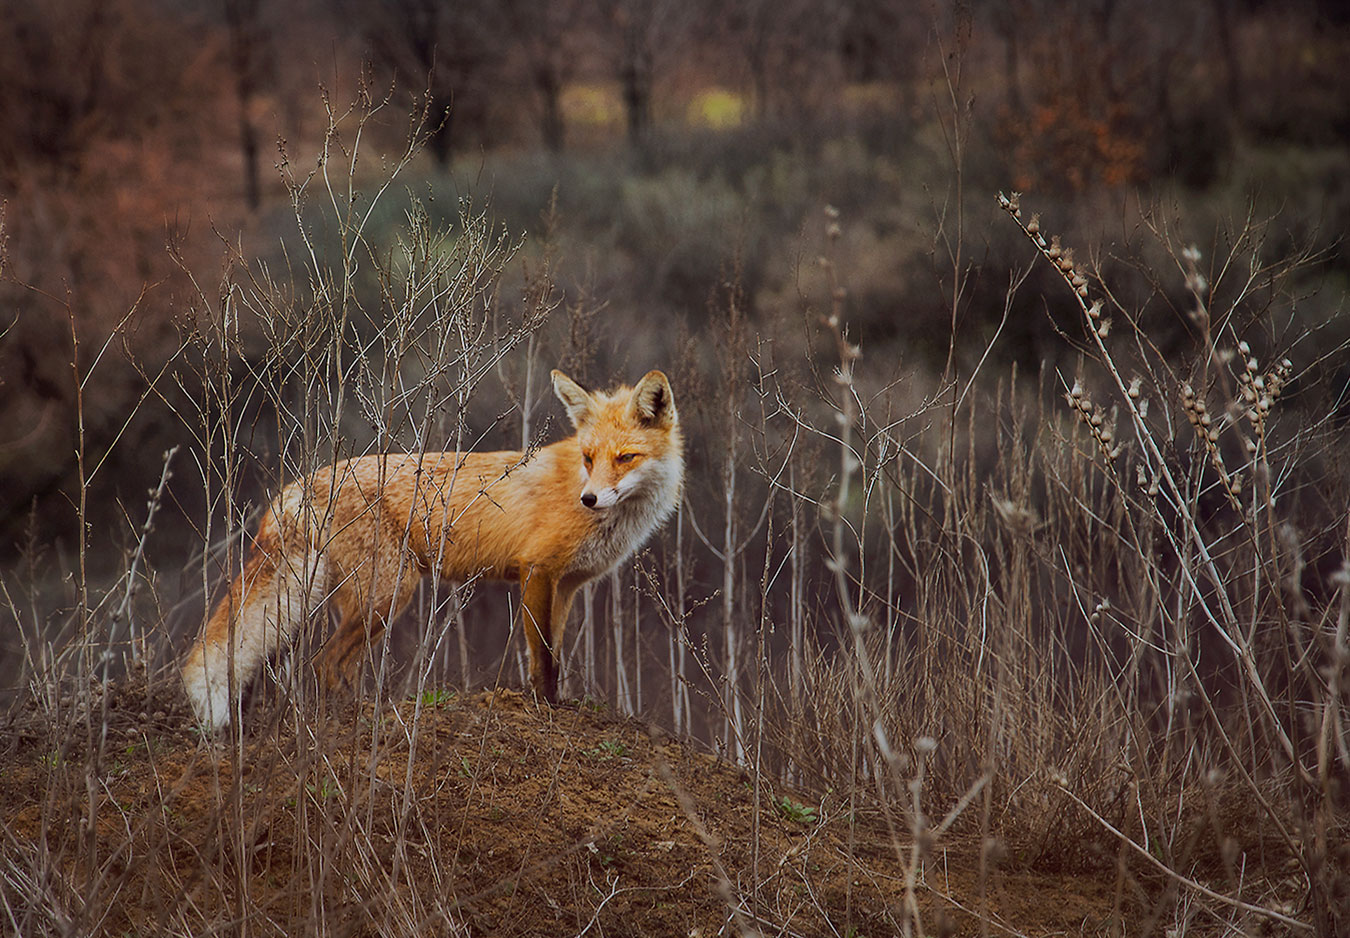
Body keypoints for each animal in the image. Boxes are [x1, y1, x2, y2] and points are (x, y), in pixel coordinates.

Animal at [180, 369, 685, 728]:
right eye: (589, 457)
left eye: (625, 458)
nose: (590, 499)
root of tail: (296, 487)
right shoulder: (537, 570)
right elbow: (543, 659)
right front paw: (546, 708)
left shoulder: (565, 586)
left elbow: (551, 654)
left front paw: (550, 703)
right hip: (388, 595)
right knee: (324, 664)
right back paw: (354, 716)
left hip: (369, 602)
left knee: (334, 665)